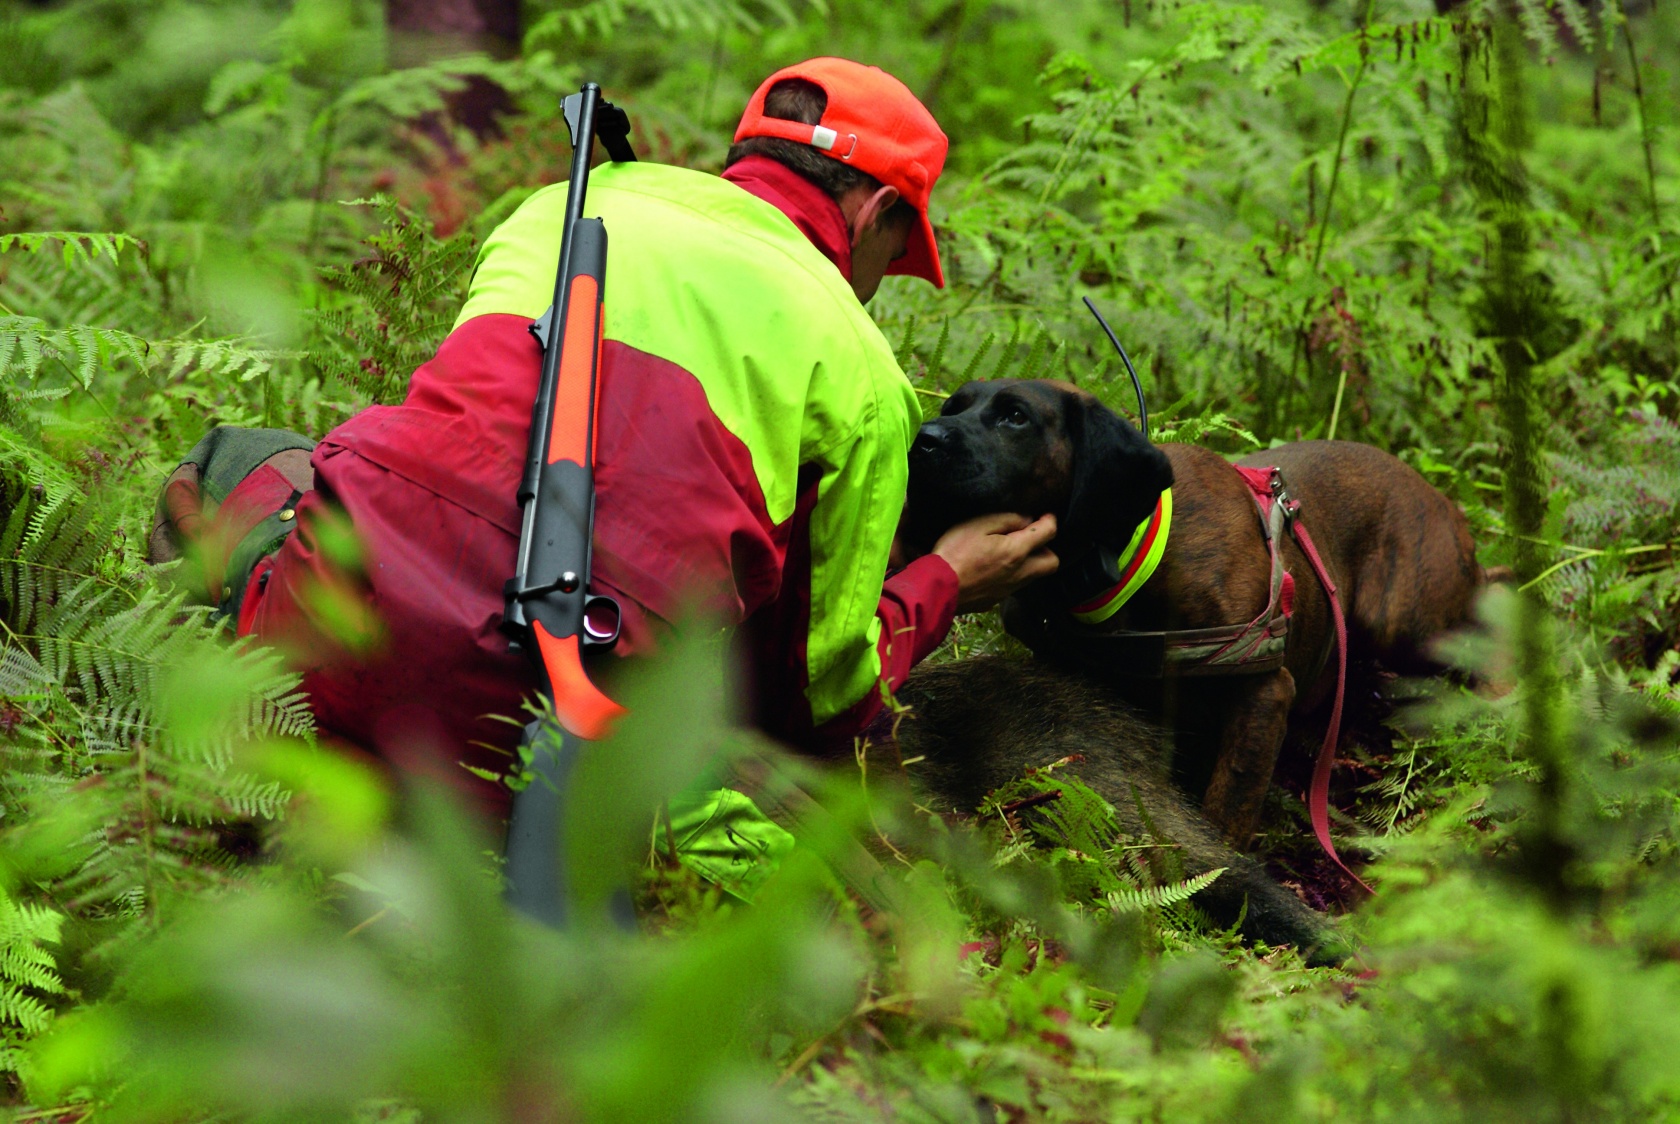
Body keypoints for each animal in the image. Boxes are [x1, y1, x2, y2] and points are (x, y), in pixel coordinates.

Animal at [907, 376, 1485, 840]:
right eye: (955, 405)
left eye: (1016, 416)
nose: (923, 439)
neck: (1118, 565)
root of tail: (1448, 505)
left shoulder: (1263, 693)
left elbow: (1227, 808)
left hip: (1403, 625)